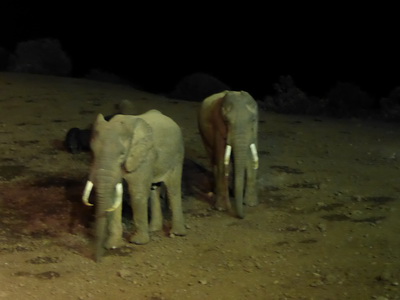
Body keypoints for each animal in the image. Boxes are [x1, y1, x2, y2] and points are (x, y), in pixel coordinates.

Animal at [82, 109, 188, 260]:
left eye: (122, 154)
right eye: (92, 152)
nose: (97, 260)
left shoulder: (144, 155)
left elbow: (137, 192)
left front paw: (138, 242)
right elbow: (114, 195)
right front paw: (113, 245)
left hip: (178, 155)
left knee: (173, 188)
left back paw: (177, 233)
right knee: (154, 188)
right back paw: (154, 229)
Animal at [198, 89, 260, 218]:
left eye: (253, 120)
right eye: (226, 121)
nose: (242, 216)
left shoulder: (254, 130)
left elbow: (250, 158)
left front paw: (251, 204)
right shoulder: (217, 125)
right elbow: (221, 159)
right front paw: (222, 208)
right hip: (203, 134)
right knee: (213, 158)